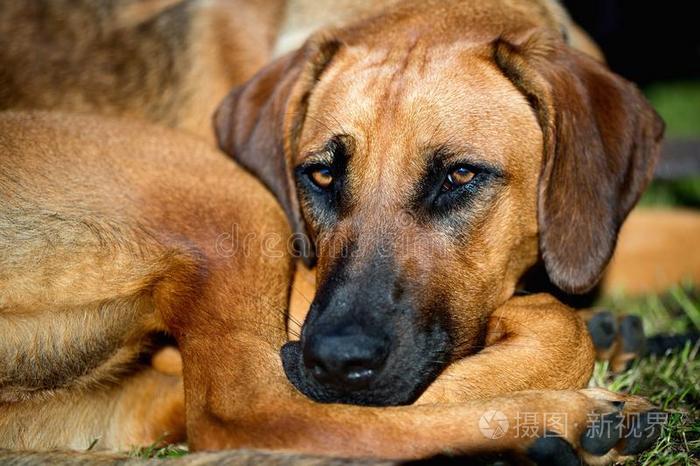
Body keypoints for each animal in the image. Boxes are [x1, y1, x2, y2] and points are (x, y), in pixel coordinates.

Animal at [0, 0, 684, 462]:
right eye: (322, 174)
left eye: (460, 175)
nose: (335, 360)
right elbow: (558, 331)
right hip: (229, 197)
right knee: (250, 413)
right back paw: (554, 422)